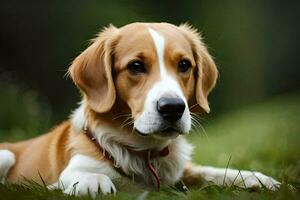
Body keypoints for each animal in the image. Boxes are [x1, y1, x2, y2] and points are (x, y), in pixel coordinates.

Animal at [0, 22, 278, 195]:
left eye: (184, 65)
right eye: (135, 66)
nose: (173, 108)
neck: (144, 153)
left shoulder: (182, 171)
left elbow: (212, 171)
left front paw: (256, 178)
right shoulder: (64, 173)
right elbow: (80, 175)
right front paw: (94, 181)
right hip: (6, 154)